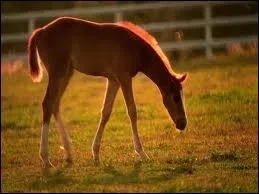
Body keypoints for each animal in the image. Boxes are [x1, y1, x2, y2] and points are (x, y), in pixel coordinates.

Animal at [27, 17, 187, 168]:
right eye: (176, 98)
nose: (183, 124)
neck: (135, 48)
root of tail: (41, 31)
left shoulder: (113, 80)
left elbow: (106, 112)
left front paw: (96, 154)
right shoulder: (124, 77)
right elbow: (132, 111)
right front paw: (141, 153)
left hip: (67, 73)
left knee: (55, 104)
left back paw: (68, 153)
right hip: (57, 73)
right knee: (48, 103)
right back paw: (45, 158)